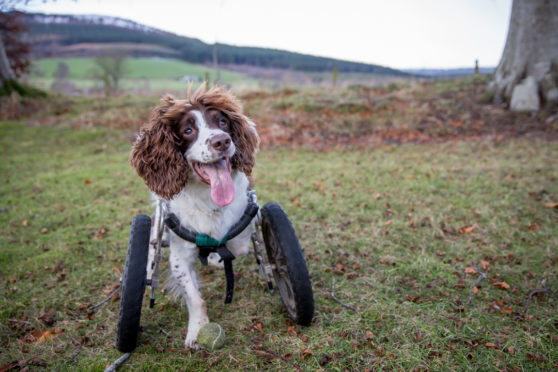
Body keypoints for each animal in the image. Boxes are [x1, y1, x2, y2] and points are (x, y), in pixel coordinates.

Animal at [131, 85, 260, 348]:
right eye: (188, 130)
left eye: (222, 122)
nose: (222, 140)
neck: (209, 200)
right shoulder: (179, 256)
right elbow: (194, 297)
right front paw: (197, 329)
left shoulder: (242, 230)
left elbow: (237, 247)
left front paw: (217, 257)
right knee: (152, 243)